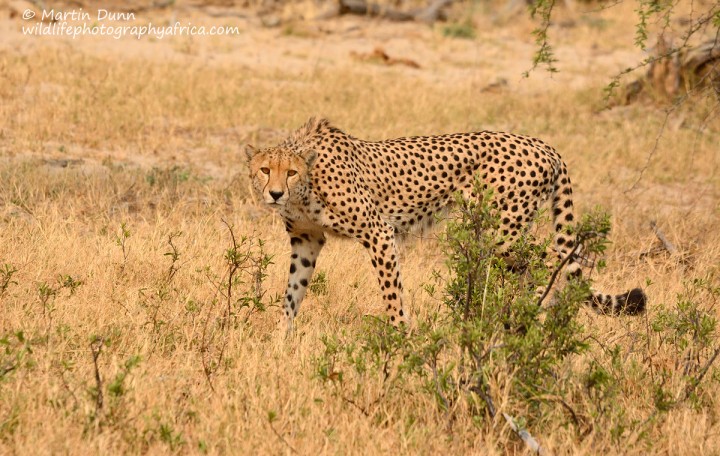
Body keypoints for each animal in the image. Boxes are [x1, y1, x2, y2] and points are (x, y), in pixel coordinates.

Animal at [246, 117, 648, 330]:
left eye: (290, 172)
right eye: (265, 170)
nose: (275, 194)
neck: (307, 186)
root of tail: (541, 144)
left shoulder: (379, 232)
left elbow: (392, 293)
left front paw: (401, 335)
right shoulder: (306, 239)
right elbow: (293, 291)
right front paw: (282, 338)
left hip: (505, 233)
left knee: (549, 266)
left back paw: (533, 320)